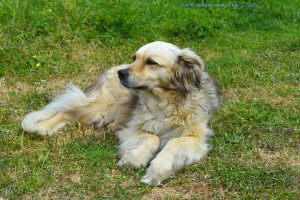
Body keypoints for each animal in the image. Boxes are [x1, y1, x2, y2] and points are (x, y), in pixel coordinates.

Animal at [21, 41, 218, 185]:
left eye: (151, 62)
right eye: (135, 57)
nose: (121, 73)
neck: (164, 101)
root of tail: (112, 68)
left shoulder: (196, 139)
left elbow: (173, 143)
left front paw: (157, 171)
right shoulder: (131, 129)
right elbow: (153, 138)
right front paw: (134, 159)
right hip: (102, 107)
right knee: (65, 111)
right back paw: (42, 128)